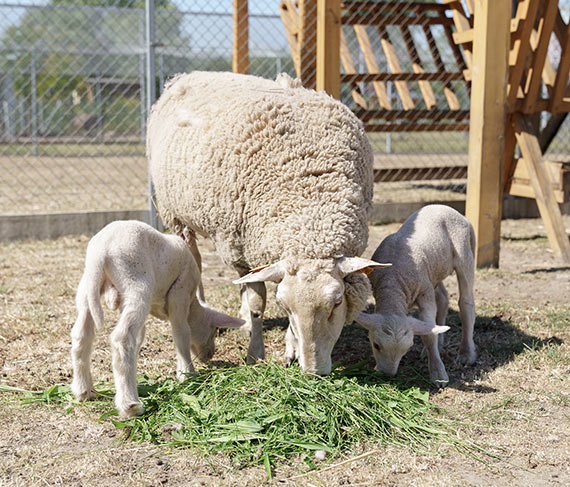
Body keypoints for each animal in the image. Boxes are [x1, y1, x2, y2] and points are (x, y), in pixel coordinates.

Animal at [69, 220, 242, 416]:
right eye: (214, 331)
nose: (209, 355)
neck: (193, 305)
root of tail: (100, 252)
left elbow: (140, 337)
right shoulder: (180, 292)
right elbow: (181, 333)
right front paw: (187, 374)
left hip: (88, 287)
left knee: (81, 334)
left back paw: (84, 390)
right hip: (136, 283)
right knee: (121, 338)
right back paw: (130, 405)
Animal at [146, 70, 386, 376]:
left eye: (337, 302)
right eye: (284, 307)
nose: (313, 372)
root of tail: (184, 76)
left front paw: (290, 348)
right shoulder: (239, 247)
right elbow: (257, 303)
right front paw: (255, 353)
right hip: (175, 214)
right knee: (195, 261)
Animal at [356, 203, 474, 386]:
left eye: (407, 349)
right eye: (376, 345)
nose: (388, 375)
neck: (393, 282)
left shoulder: (425, 293)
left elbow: (429, 335)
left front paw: (438, 373)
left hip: (463, 254)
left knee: (466, 303)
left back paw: (466, 355)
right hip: (434, 271)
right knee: (443, 299)